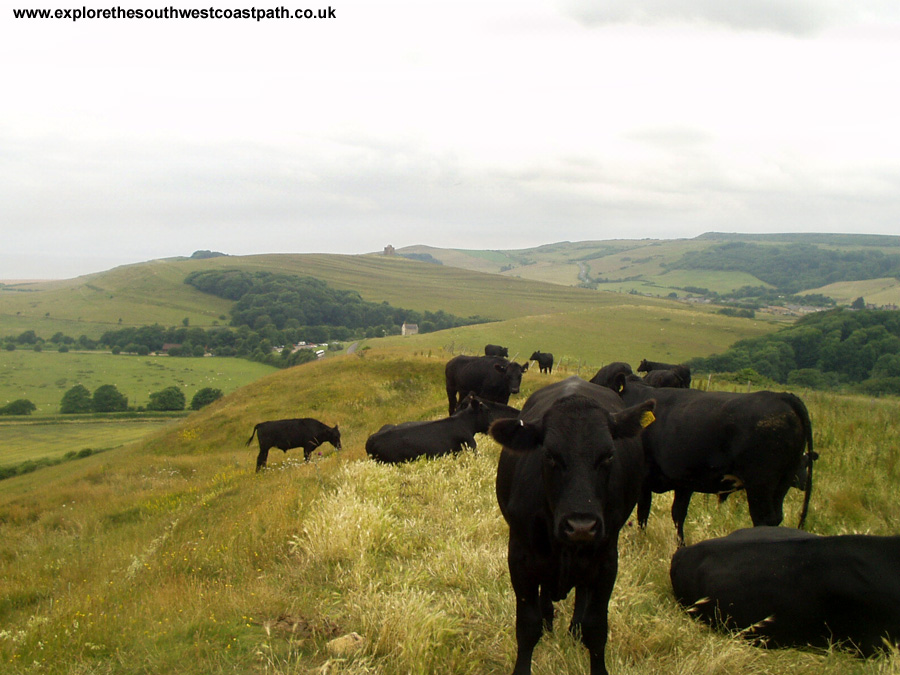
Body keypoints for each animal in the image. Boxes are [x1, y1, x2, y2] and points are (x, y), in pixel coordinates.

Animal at [492, 378, 652, 672]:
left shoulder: (606, 561)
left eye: (608, 455)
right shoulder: (520, 557)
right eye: (550, 455)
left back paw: (573, 628)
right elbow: (527, 627)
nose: (581, 526)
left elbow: (596, 627)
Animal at [596, 378, 816, 548]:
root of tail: (783, 396)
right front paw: (680, 545)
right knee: (777, 517)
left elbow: (643, 513)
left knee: (764, 519)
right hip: (782, 483)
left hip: (760, 485)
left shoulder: (644, 481)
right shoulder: (684, 482)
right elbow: (678, 514)